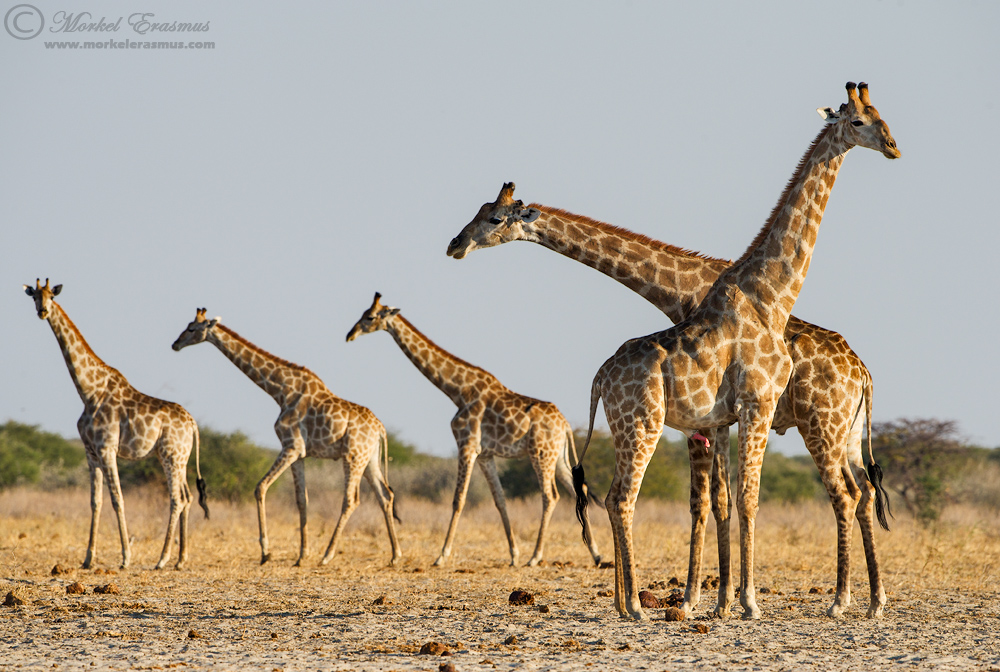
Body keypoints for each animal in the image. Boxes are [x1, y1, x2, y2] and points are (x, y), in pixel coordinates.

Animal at [23, 279, 208, 570]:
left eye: (52, 296)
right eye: (34, 297)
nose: (42, 311)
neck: (88, 391)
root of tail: (193, 424)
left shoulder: (107, 449)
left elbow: (117, 499)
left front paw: (125, 558)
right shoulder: (90, 453)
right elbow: (95, 502)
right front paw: (88, 559)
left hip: (171, 455)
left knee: (177, 499)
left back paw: (162, 559)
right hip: (178, 457)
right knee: (187, 497)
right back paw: (180, 559)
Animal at [171, 308, 401, 567]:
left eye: (192, 328)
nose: (175, 344)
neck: (281, 391)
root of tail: (380, 428)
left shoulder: (291, 447)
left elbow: (260, 488)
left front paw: (266, 552)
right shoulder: (299, 454)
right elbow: (302, 500)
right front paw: (301, 556)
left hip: (353, 456)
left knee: (351, 500)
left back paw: (327, 555)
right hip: (369, 458)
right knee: (385, 495)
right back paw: (395, 555)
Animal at [346, 293, 602, 567]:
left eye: (370, 317)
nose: (350, 334)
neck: (458, 391)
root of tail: (566, 425)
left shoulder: (466, 445)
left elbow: (458, 499)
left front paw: (441, 556)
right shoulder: (485, 455)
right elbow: (500, 500)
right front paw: (513, 555)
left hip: (540, 453)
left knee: (550, 496)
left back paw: (536, 556)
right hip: (558, 456)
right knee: (577, 490)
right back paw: (596, 554)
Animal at [494, 82, 896, 621]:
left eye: (875, 116)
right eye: (858, 120)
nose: (894, 146)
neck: (765, 293)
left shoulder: (723, 418)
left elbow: (726, 501)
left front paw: (722, 600)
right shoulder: (737, 413)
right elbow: (732, 500)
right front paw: (731, 600)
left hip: (826, 427)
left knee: (852, 491)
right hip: (703, 426)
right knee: (623, 497)